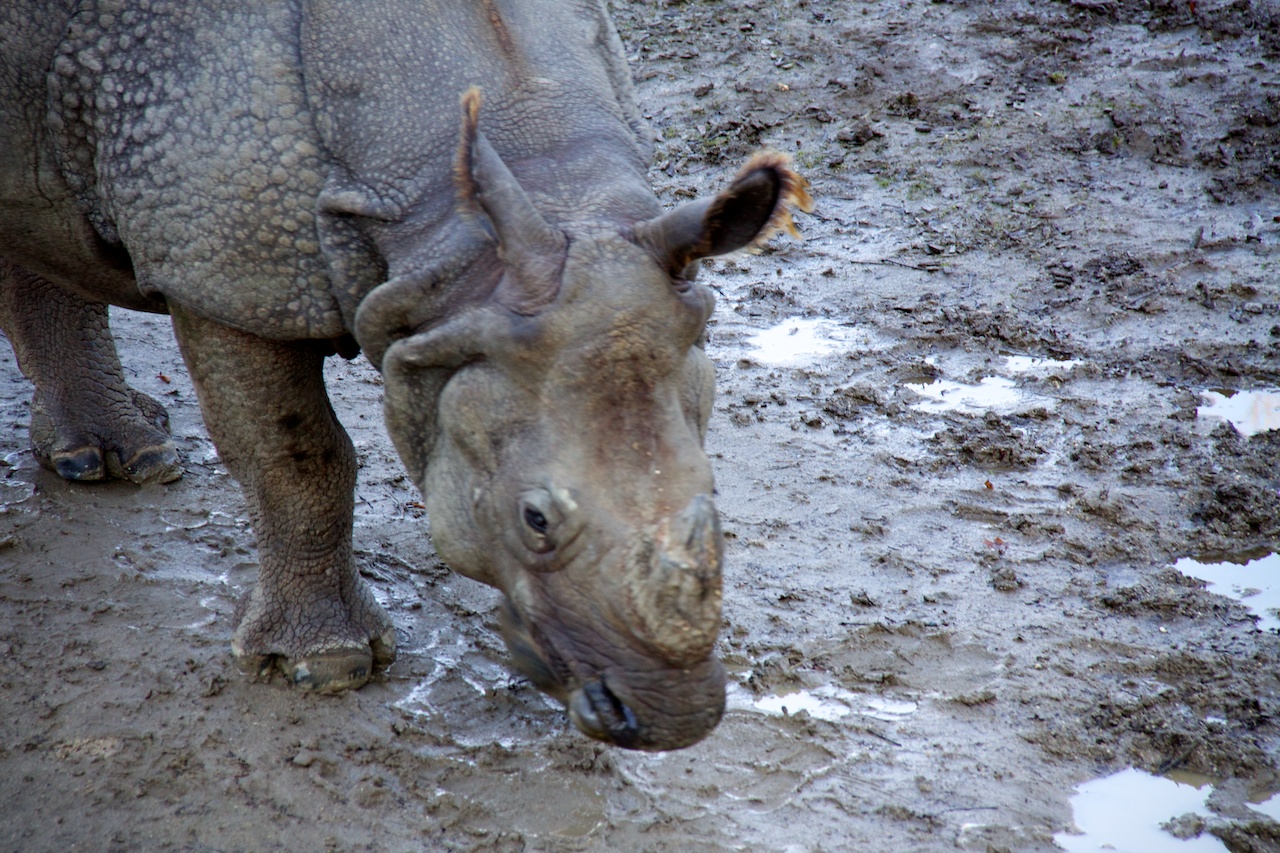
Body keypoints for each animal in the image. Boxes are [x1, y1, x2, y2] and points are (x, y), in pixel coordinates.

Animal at [0, 0, 811, 750]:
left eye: (714, 493)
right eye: (535, 521)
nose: (675, 719)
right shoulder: (219, 269)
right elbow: (296, 455)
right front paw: (323, 666)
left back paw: (115, 456)